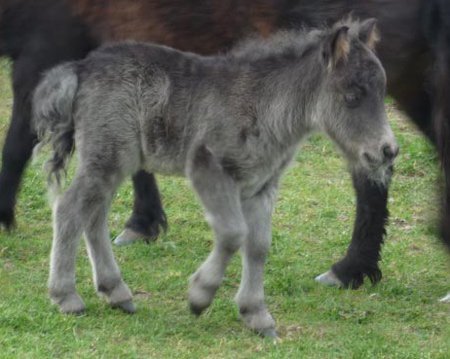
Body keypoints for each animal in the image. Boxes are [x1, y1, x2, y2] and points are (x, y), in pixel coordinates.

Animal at [0, 0, 448, 292]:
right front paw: (146, 225)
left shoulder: (47, 44)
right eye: (353, 95)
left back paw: (352, 268)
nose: (388, 149)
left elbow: (17, 141)